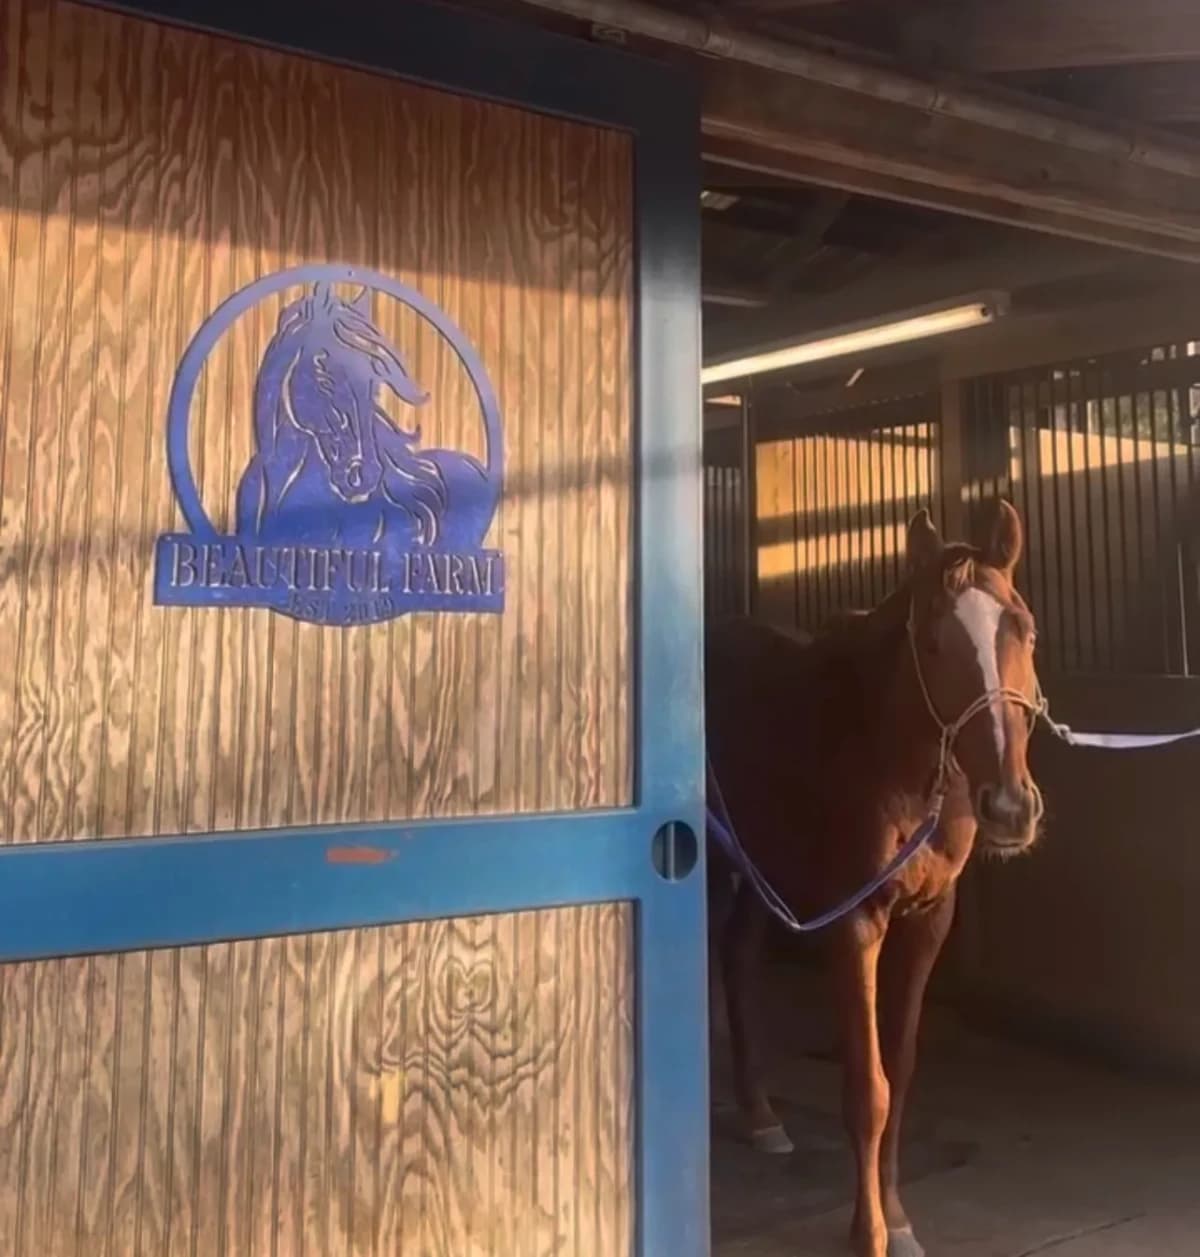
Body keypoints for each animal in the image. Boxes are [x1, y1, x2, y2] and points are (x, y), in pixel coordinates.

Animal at [706, 499, 1044, 1257]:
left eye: (1026, 629)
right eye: (933, 642)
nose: (1010, 806)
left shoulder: (929, 919)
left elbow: (903, 1068)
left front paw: (899, 1215)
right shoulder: (854, 919)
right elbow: (869, 1087)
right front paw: (869, 1232)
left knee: (738, 957)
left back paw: (762, 1115)